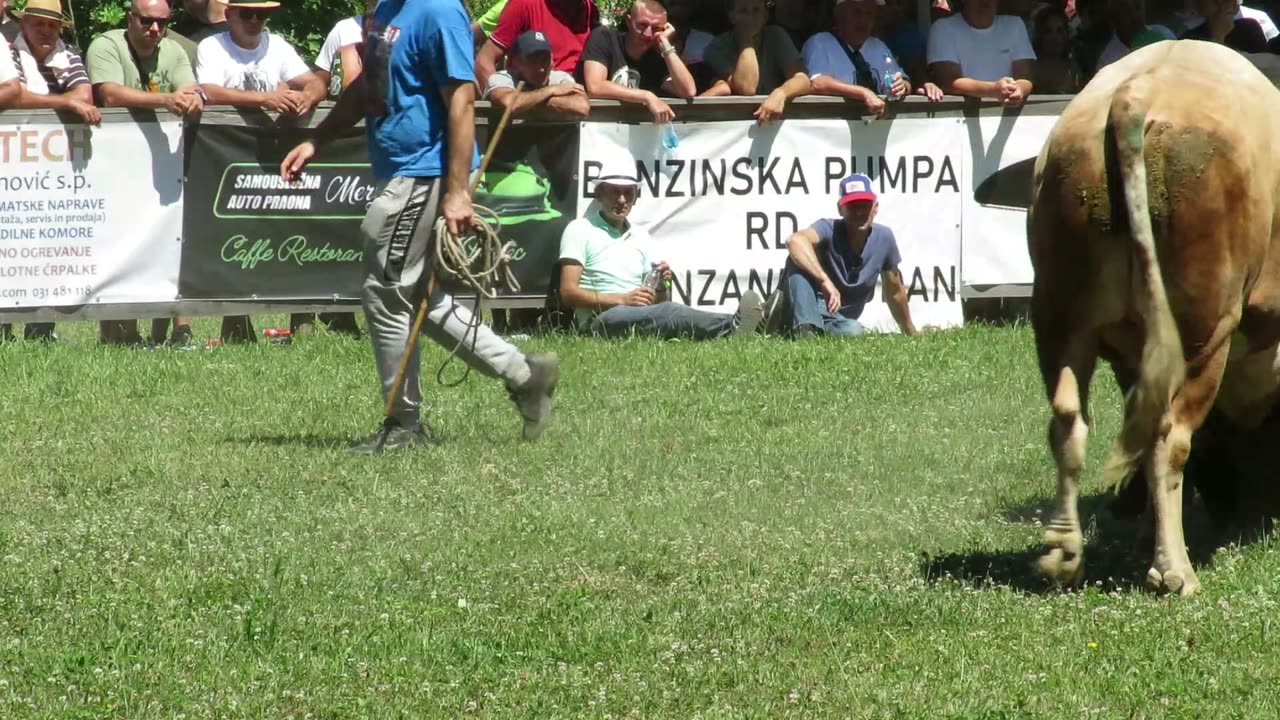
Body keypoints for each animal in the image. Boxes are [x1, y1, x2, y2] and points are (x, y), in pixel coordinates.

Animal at [1024, 37, 1280, 594]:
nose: (1248, 515)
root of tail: (1136, 92)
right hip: (1202, 333)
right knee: (1169, 437)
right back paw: (1173, 568)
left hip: (1061, 316)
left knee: (1070, 422)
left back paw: (1063, 553)